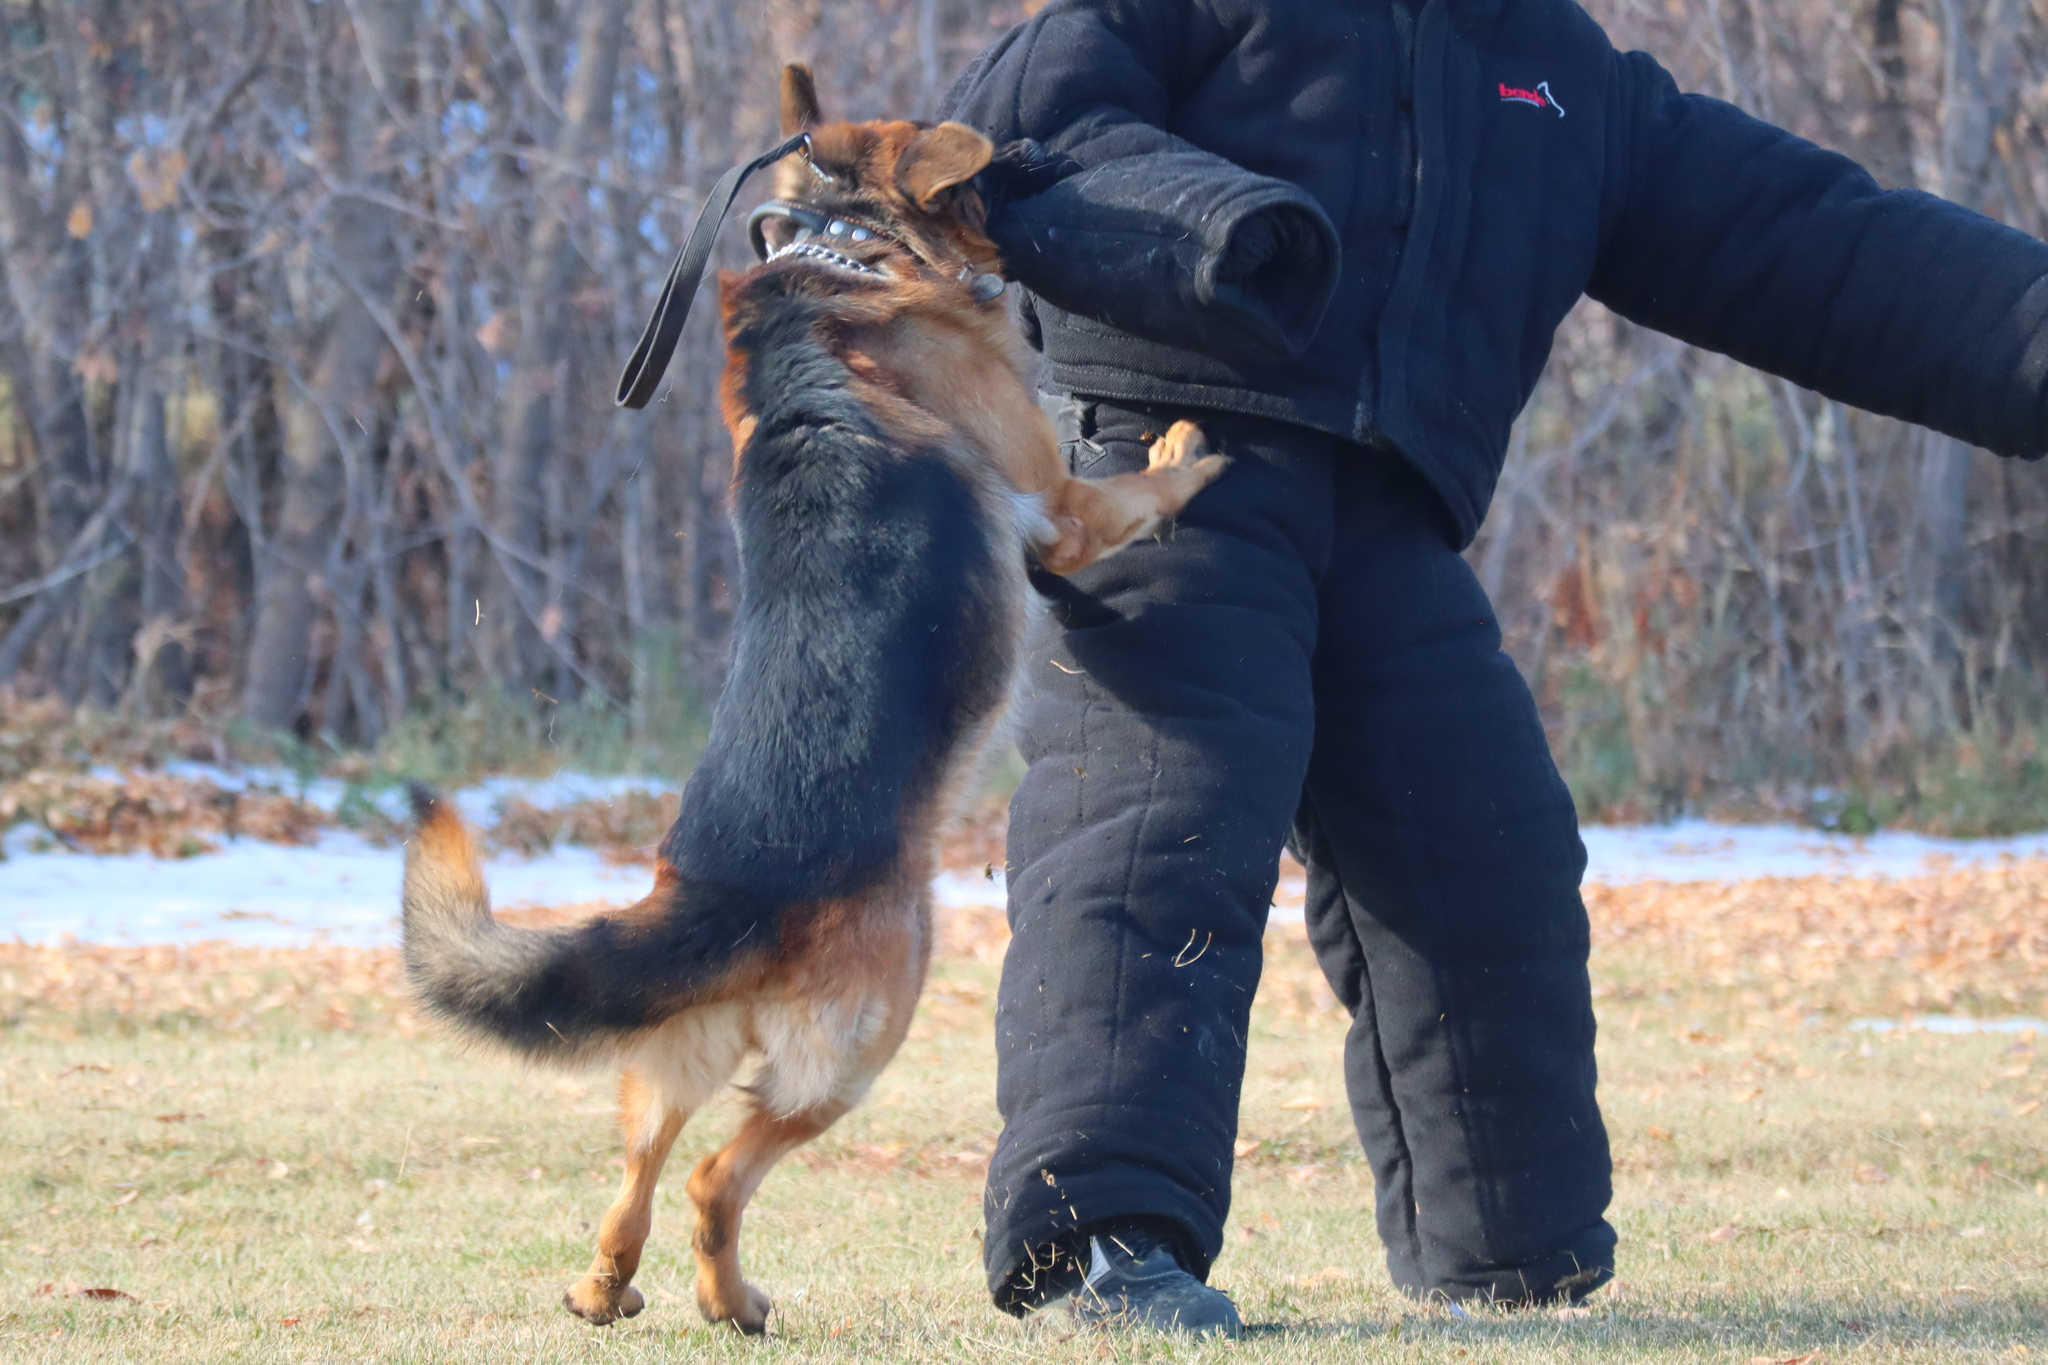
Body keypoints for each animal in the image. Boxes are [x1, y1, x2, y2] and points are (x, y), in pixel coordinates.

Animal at [407, 63, 1220, 1334]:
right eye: (979, 154)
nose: (1041, 141)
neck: (848, 251)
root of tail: (720, 900)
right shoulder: (1061, 509)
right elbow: (1140, 488)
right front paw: (1196, 441)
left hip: (672, 1065)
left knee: (639, 1174)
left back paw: (614, 1290)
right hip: (865, 1038)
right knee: (712, 1174)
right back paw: (728, 1299)